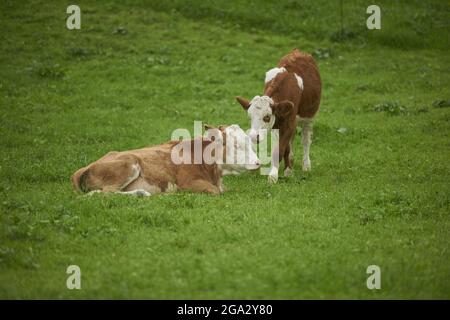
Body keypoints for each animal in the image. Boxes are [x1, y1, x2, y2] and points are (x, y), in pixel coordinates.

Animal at [70, 124, 260, 195]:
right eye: (237, 145)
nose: (258, 163)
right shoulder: (188, 182)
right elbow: (214, 191)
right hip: (128, 165)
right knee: (106, 193)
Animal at [236, 47, 320, 182]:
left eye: (267, 117)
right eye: (250, 117)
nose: (254, 137)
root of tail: (298, 51)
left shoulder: (290, 123)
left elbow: (279, 150)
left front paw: (273, 175)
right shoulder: (278, 125)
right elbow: (284, 148)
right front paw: (287, 170)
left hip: (309, 116)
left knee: (306, 139)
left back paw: (306, 165)